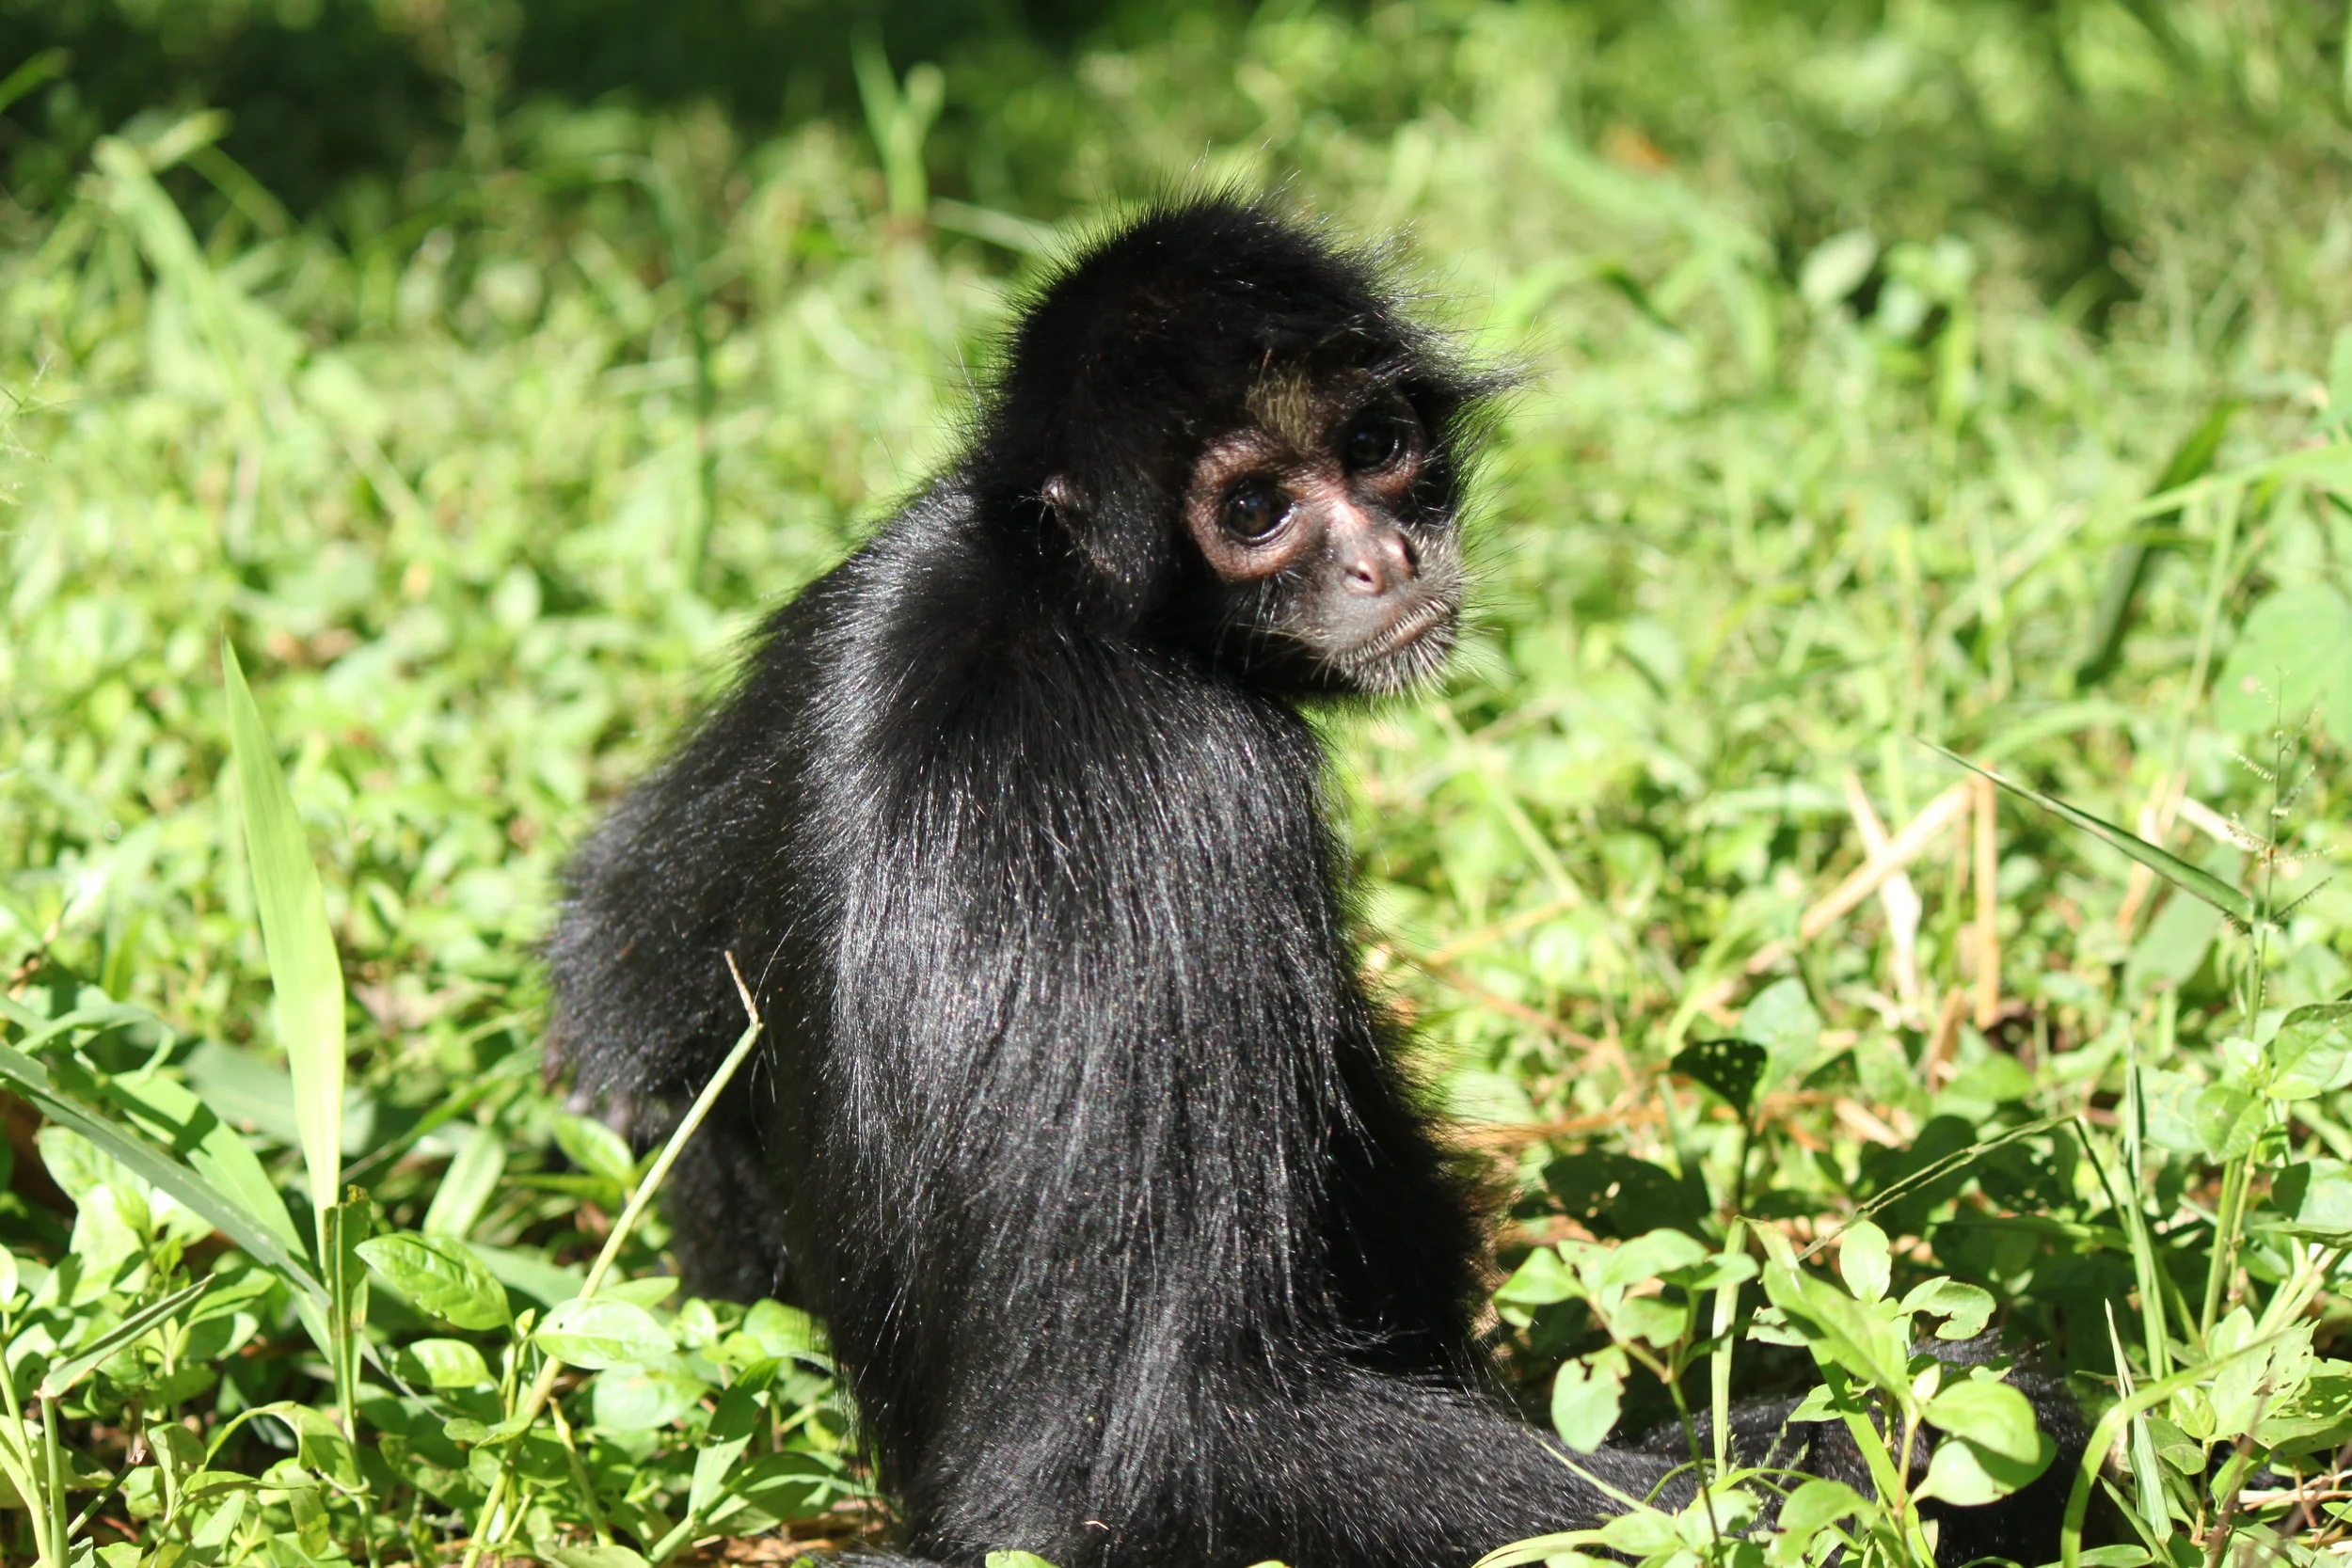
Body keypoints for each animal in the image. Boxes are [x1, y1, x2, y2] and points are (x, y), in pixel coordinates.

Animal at [545, 197, 2083, 1568]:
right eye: (1255, 507)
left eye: (1378, 446)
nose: (1384, 555)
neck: (1065, 603)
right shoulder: (1192, 784)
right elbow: (1109, 1470)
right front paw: (1925, 1437)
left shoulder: (872, 585)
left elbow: (621, 983)